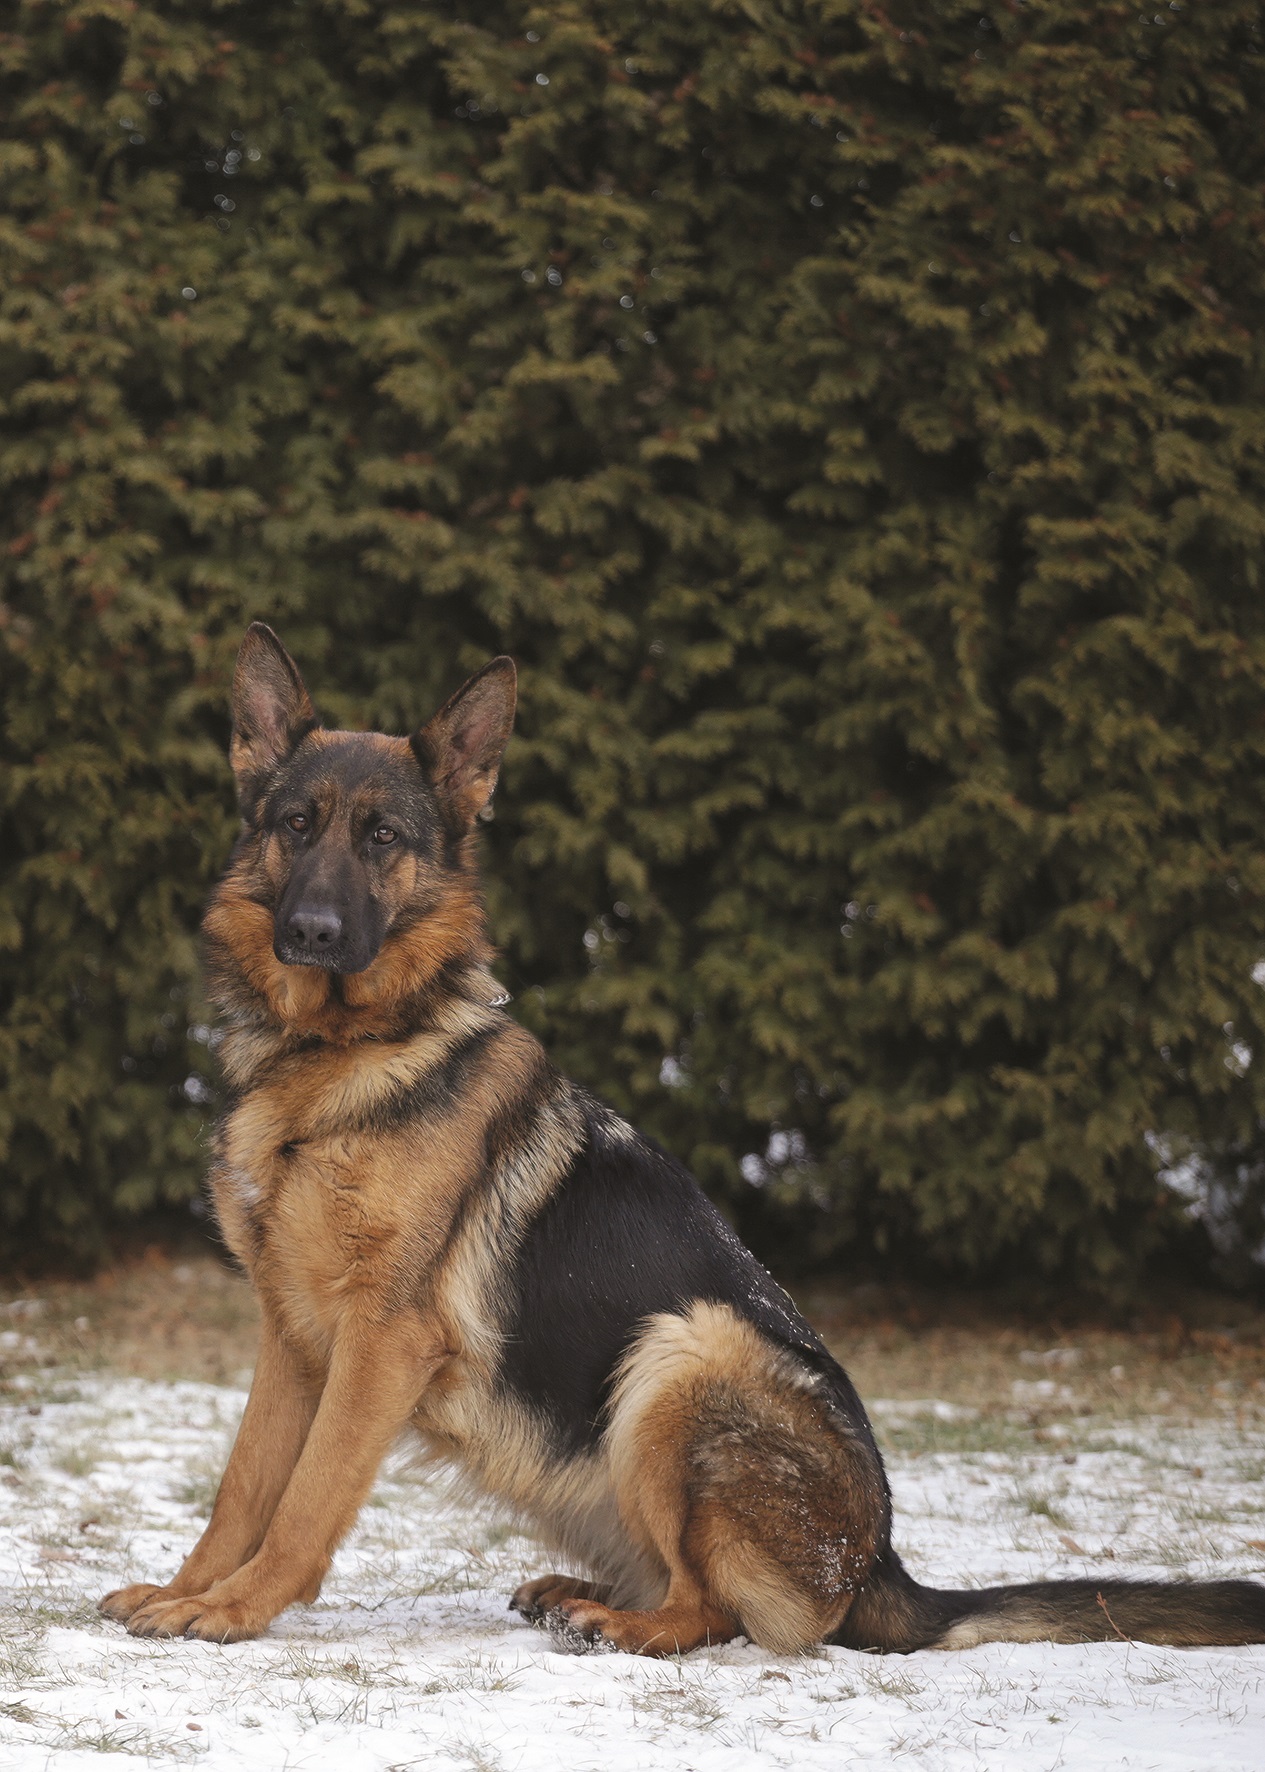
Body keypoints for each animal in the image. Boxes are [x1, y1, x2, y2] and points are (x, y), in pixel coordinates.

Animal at [100, 630, 1261, 1651]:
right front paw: (189, 1588)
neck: (340, 1056)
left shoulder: (380, 1344)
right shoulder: (293, 1342)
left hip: (682, 1350)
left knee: (718, 1611)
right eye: (295, 823)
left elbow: (303, 1502)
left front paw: (235, 1609)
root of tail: (879, 1563)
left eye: (383, 838)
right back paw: (578, 1591)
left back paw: (624, 1623)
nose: (312, 934)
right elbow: (245, 1485)